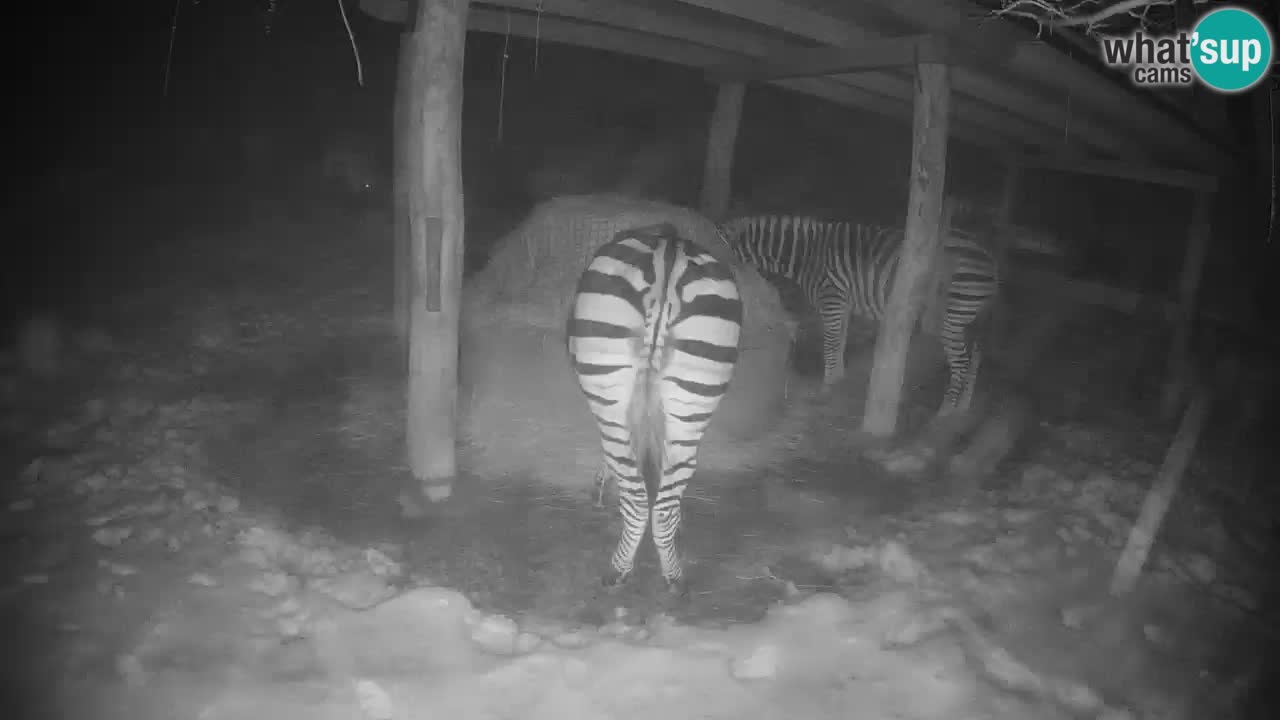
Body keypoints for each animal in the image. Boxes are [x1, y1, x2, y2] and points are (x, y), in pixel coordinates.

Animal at [567, 222, 743, 596]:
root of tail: (668, 250)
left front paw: (601, 485)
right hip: (694, 395)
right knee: (665, 502)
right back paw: (672, 573)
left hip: (609, 387)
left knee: (636, 497)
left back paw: (618, 570)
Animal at [717, 215, 999, 415]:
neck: (805, 256)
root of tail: (987, 255)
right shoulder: (843, 304)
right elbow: (839, 341)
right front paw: (837, 379)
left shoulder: (832, 300)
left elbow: (830, 343)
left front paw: (826, 387)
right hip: (968, 317)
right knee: (976, 355)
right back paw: (963, 406)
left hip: (954, 315)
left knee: (962, 361)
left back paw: (946, 410)